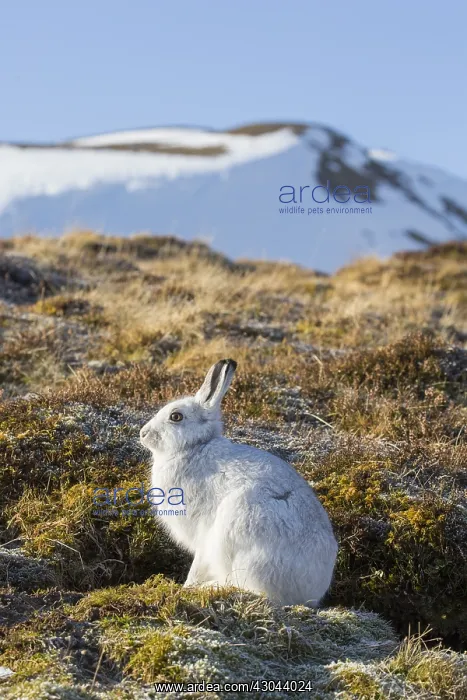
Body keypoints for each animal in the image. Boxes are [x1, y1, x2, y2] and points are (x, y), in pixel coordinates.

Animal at [140, 359, 338, 606]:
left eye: (176, 416)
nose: (142, 433)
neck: (194, 447)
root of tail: (310, 593)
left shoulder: (204, 531)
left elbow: (198, 563)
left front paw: (187, 587)